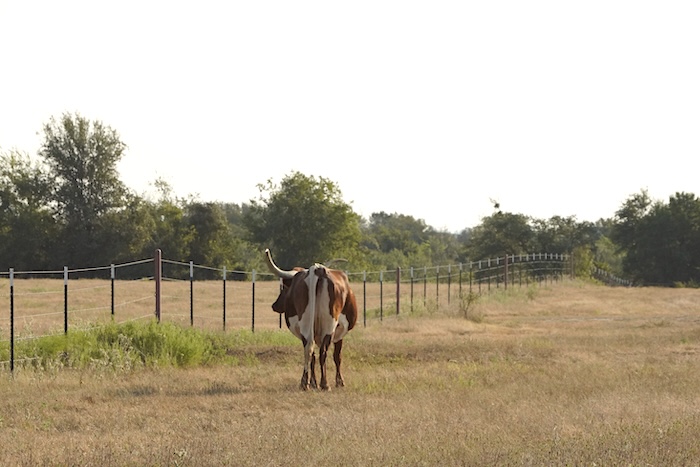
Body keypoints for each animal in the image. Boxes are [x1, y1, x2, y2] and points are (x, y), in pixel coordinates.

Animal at [264, 248, 358, 390]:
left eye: (284, 288)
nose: (275, 305)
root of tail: (317, 270)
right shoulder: (339, 332)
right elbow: (337, 356)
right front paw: (339, 382)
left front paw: (314, 383)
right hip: (329, 324)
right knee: (322, 352)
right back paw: (324, 384)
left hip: (306, 324)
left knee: (309, 350)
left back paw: (305, 383)